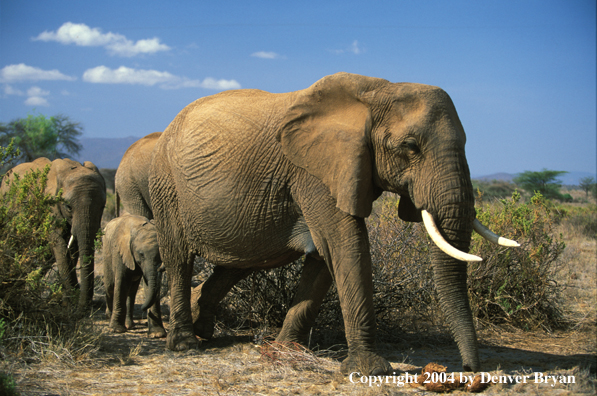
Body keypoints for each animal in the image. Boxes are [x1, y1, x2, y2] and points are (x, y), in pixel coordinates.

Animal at [1, 157, 106, 310]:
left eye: (103, 206)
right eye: (68, 207)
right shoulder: (51, 208)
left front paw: (67, 300)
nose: (85, 306)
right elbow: (61, 247)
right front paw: (70, 302)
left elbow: (72, 248)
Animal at [148, 72, 516, 376]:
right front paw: (370, 370)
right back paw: (185, 345)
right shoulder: (313, 172)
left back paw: (203, 329)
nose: (469, 369)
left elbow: (324, 257)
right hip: (166, 186)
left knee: (241, 262)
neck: (376, 90)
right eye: (410, 147)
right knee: (179, 259)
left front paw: (283, 350)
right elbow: (346, 244)